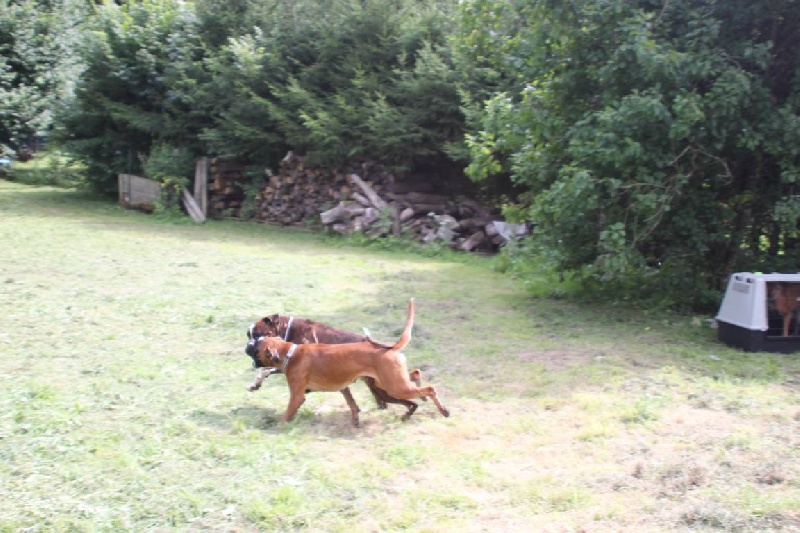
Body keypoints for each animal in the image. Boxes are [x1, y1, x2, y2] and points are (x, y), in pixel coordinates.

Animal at [248, 298, 450, 426]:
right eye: (249, 335)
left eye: (257, 335)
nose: (247, 345)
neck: (291, 349)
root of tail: (389, 347)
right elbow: (351, 402)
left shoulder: (298, 394)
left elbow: (285, 409)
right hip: (388, 384)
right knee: (414, 377)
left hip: (393, 387)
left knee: (427, 389)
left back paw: (442, 410)